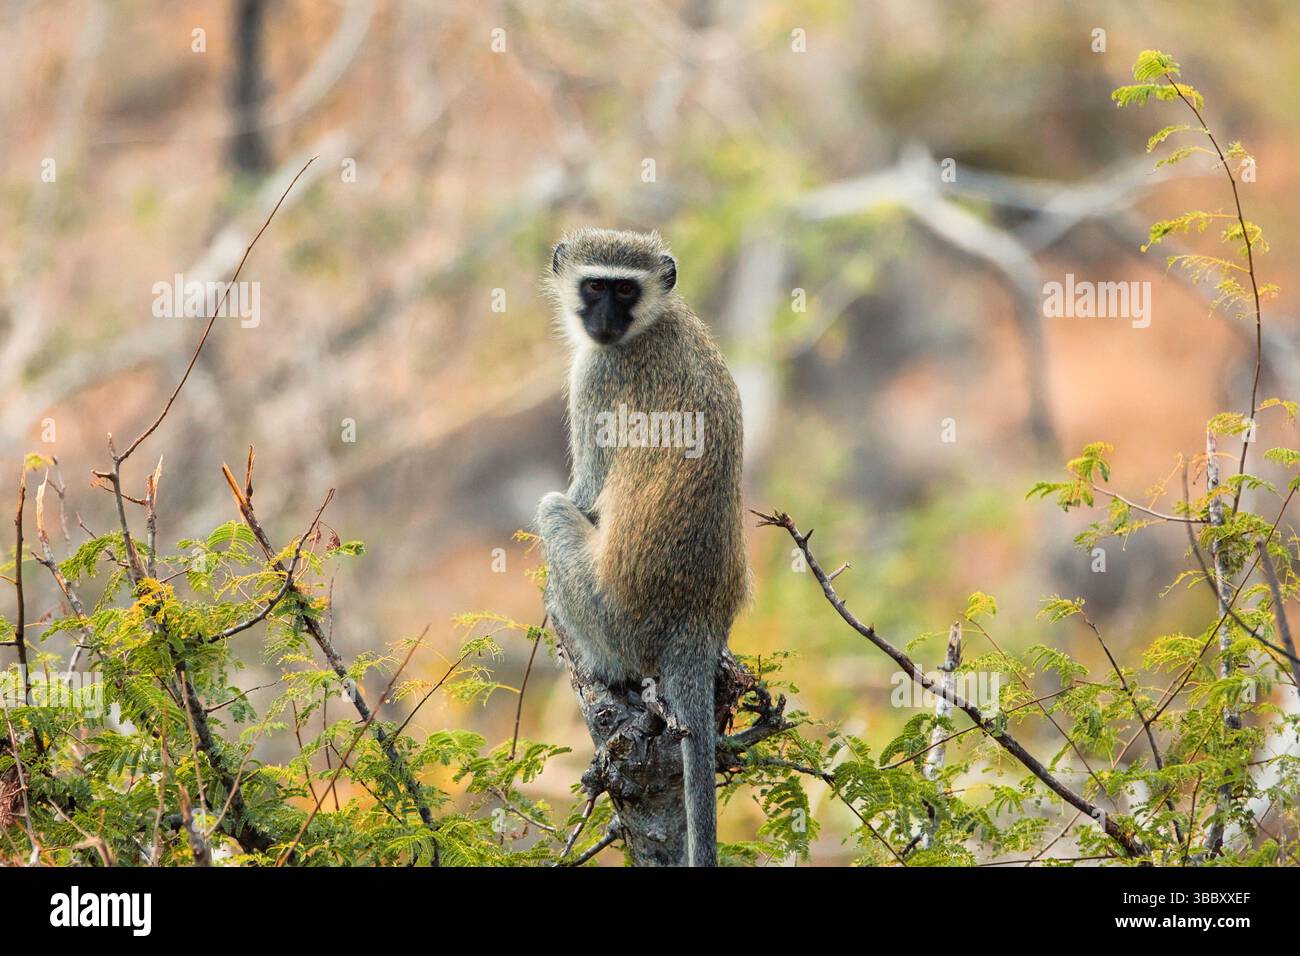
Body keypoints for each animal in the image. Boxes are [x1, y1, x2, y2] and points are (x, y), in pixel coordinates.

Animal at [536, 228, 748, 867]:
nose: (604, 318)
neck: (652, 324)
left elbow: (582, 497)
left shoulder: (597, 376)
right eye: (596, 286)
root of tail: (697, 622)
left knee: (553, 511)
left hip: (614, 619)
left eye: (625, 289)